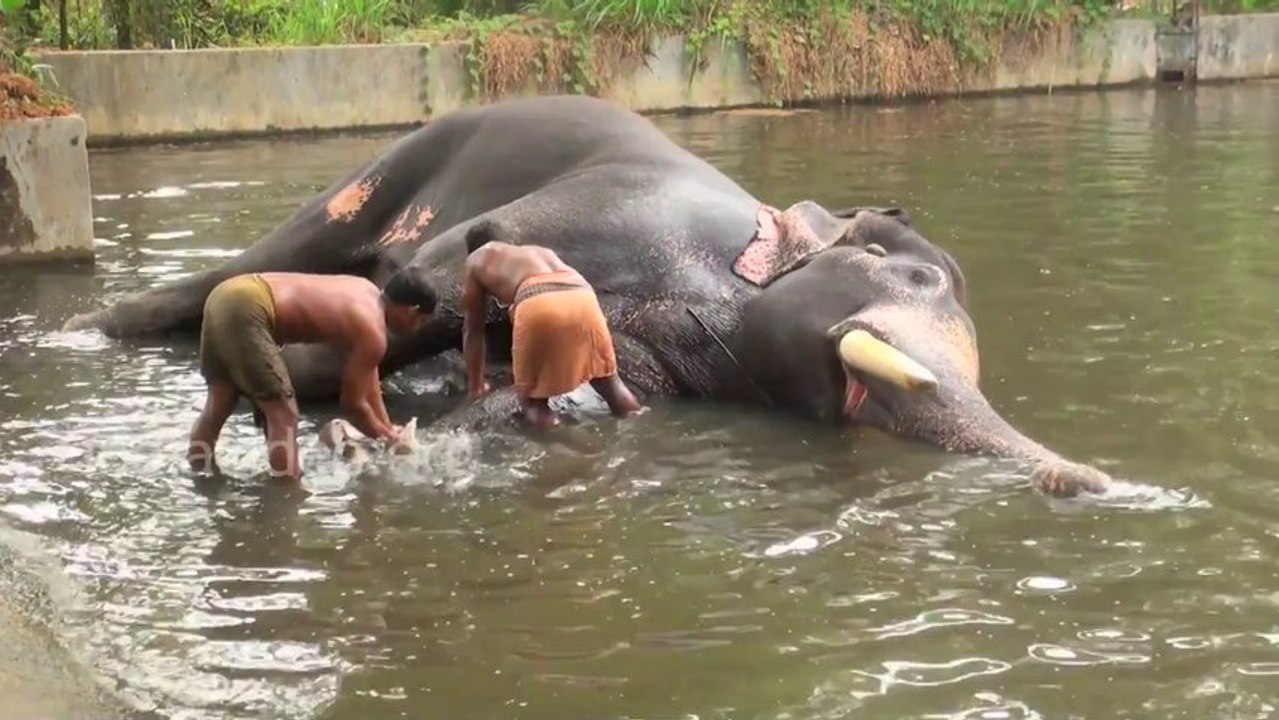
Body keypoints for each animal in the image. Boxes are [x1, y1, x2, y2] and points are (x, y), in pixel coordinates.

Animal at [63, 94, 1112, 498]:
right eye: (908, 270)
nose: (1082, 480)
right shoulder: (616, 205)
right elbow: (429, 283)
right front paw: (337, 421)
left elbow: (538, 399)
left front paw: (380, 442)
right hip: (387, 165)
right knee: (286, 254)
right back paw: (83, 332)